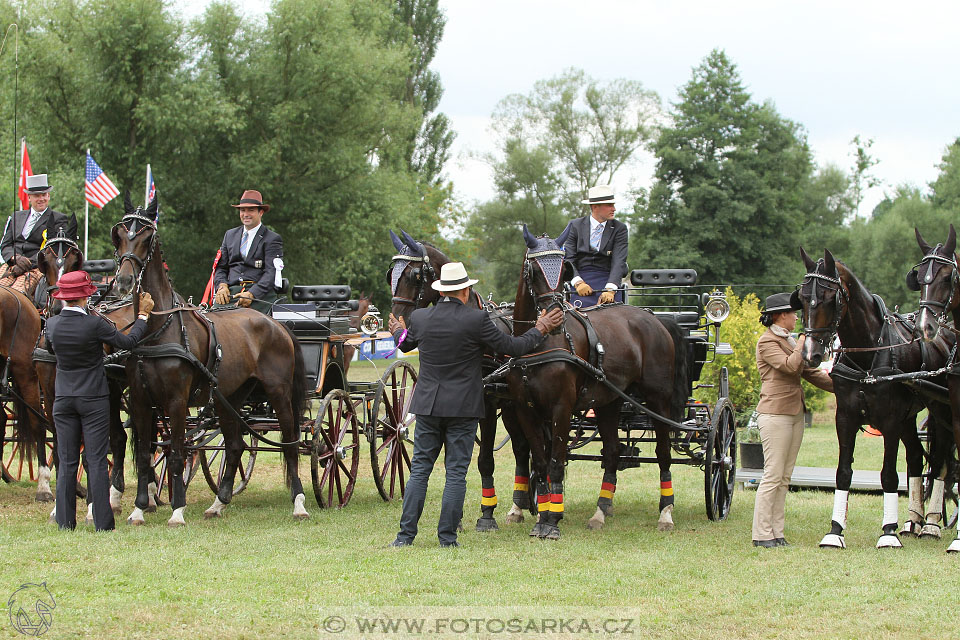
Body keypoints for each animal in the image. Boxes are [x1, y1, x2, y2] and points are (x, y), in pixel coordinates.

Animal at [112, 195, 308, 524]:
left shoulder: (177, 400)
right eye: (120, 234)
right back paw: (220, 501)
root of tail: (277, 324)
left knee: (291, 443)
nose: (125, 280)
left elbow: (178, 452)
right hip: (230, 397)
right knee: (235, 444)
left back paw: (299, 502)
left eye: (147, 236)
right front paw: (139, 508)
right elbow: (143, 454)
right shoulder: (140, 399)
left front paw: (177, 510)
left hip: (279, 393)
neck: (156, 329)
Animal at [502, 228, 688, 536]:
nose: (554, 317)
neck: (536, 344)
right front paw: (541, 518)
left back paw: (666, 513)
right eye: (535, 269)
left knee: (663, 453)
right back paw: (600, 512)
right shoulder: (524, 409)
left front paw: (552, 521)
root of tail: (654, 319)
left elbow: (555, 463)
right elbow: (540, 462)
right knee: (612, 452)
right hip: (609, 401)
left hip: (658, 400)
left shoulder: (561, 408)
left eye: (563, 268)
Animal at [796, 248, 952, 548]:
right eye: (802, 298)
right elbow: (843, 472)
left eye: (831, 298)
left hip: (940, 412)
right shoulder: (845, 418)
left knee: (940, 463)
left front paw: (888, 532)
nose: (811, 354)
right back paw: (913, 520)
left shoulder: (890, 421)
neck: (868, 354)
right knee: (916, 459)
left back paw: (931, 524)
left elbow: (889, 475)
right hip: (908, 419)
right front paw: (835, 531)